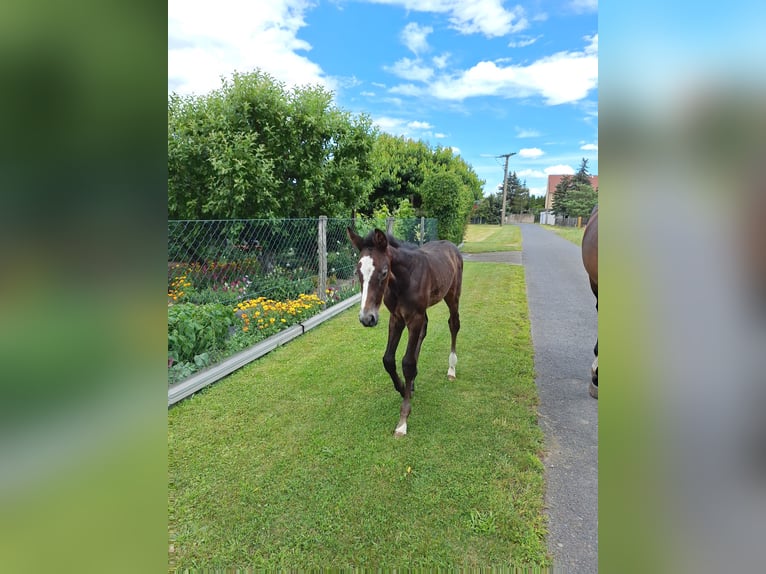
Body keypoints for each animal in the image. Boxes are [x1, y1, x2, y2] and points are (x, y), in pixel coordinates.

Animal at [350, 227, 464, 438]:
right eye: (358, 272)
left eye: (384, 272)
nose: (366, 318)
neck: (403, 280)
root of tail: (451, 245)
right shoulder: (396, 318)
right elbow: (388, 359)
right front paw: (404, 388)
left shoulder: (413, 318)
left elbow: (408, 363)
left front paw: (403, 420)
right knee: (425, 329)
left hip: (452, 295)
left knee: (454, 324)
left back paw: (451, 368)